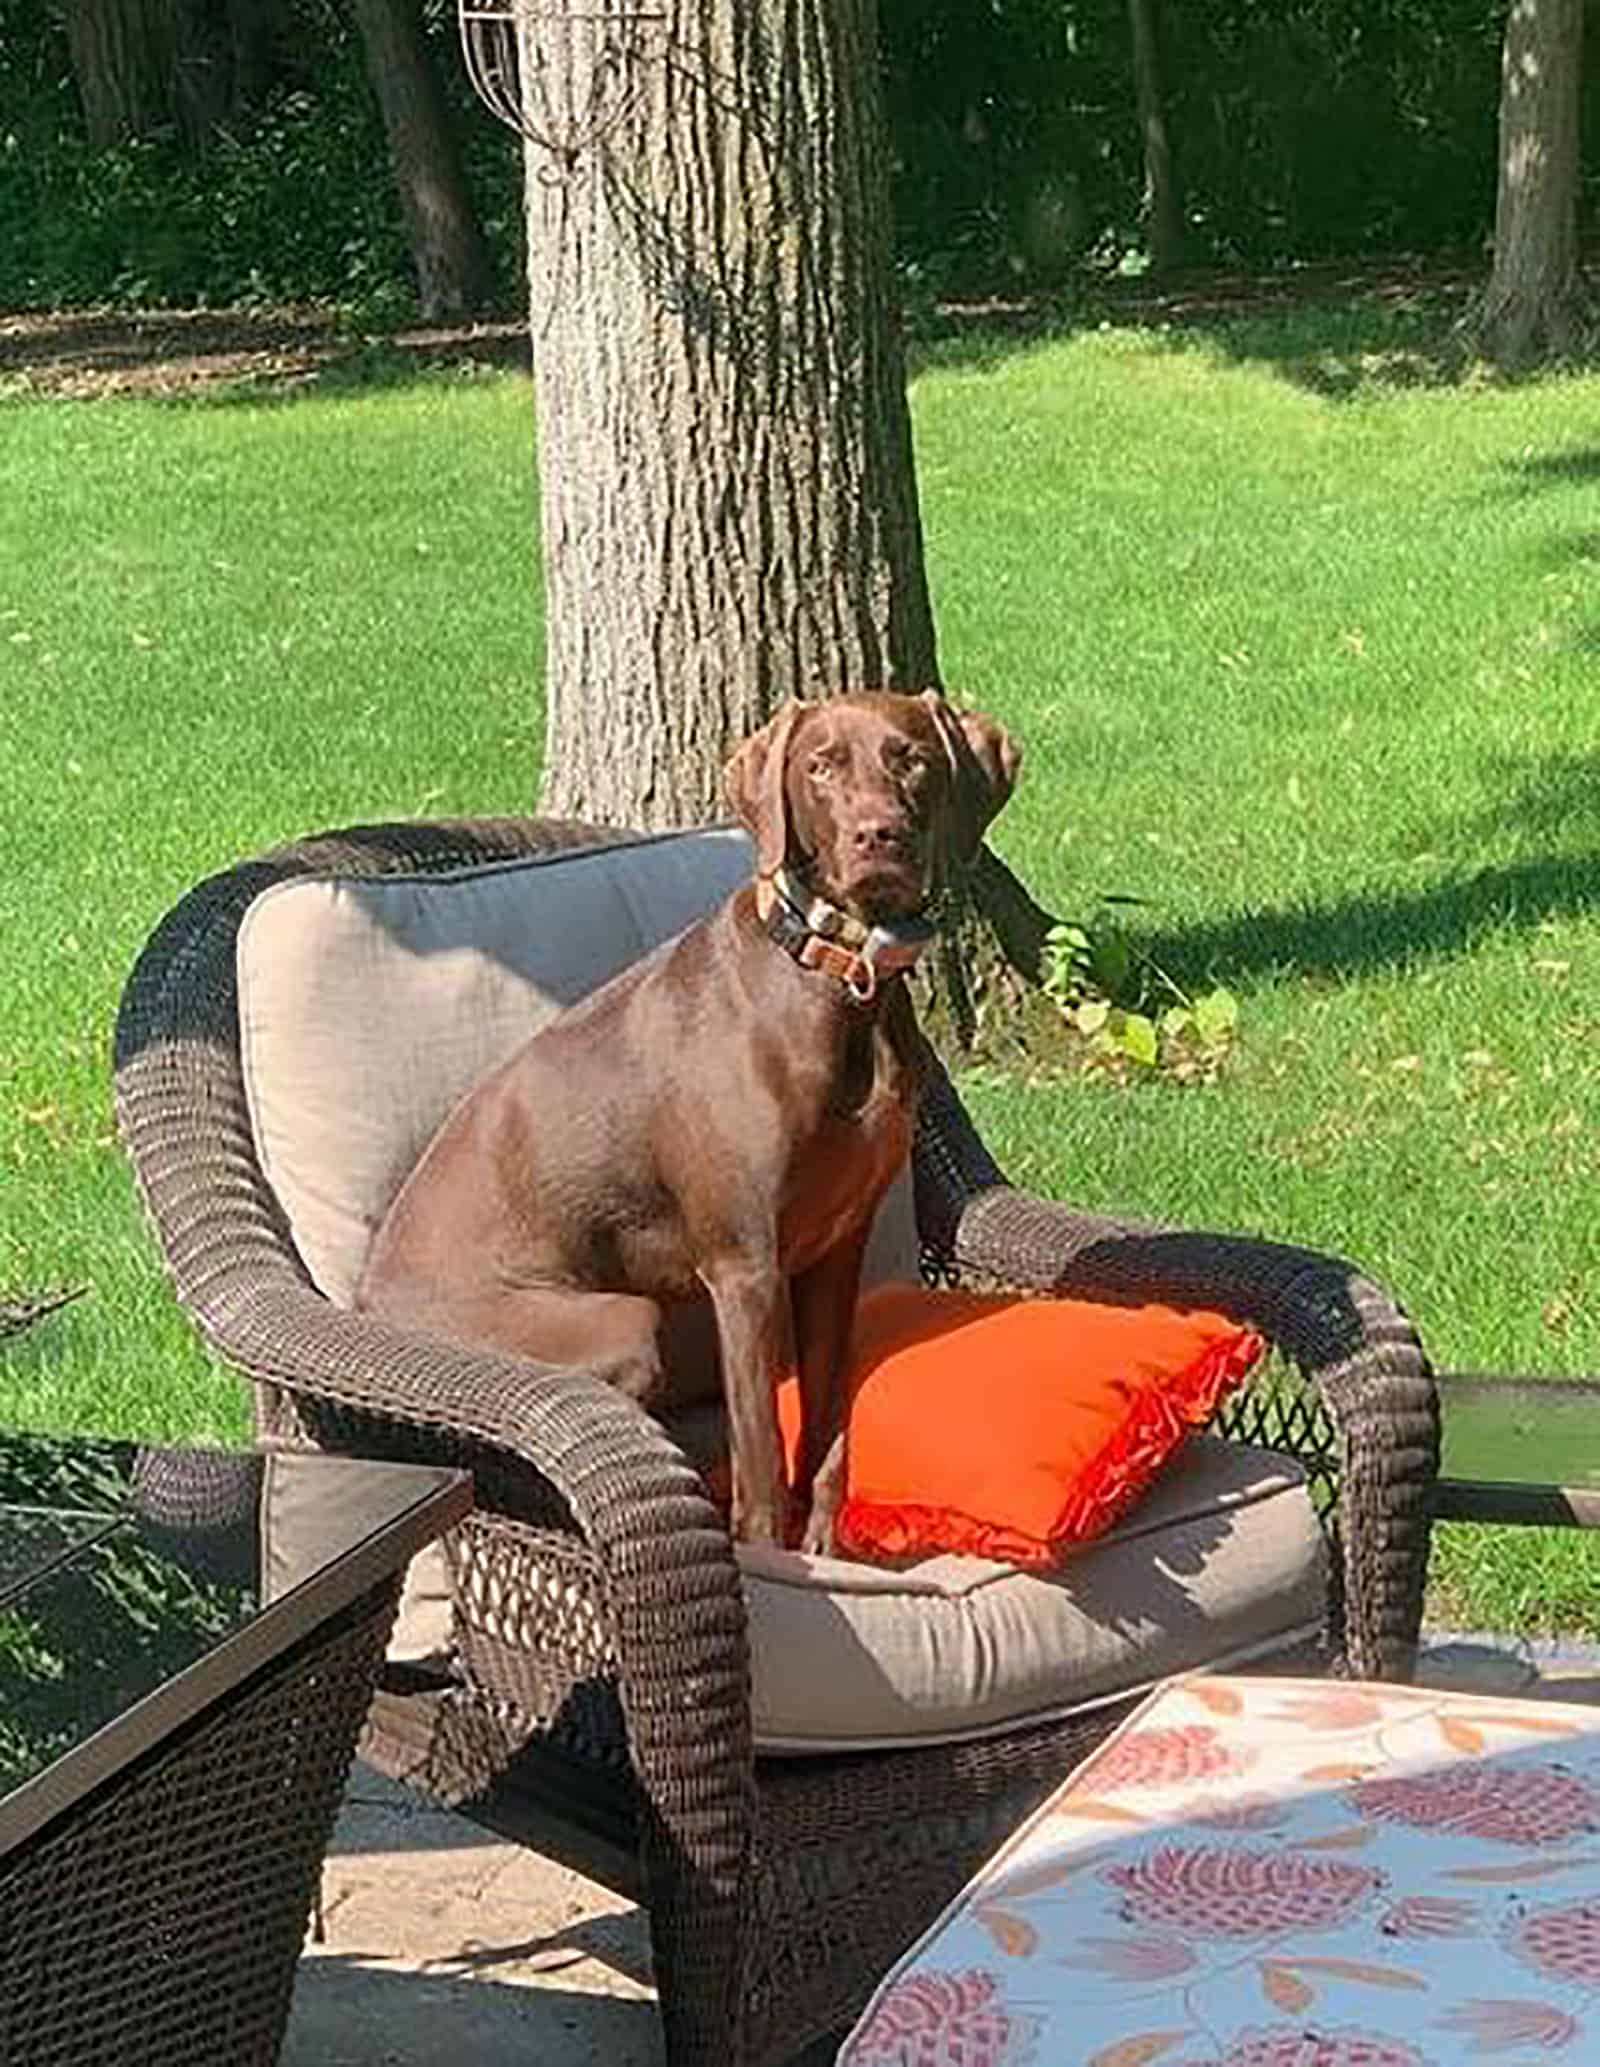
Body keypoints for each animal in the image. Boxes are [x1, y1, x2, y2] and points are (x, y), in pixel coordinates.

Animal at [357, 694, 1021, 1554]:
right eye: (820, 764)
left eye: (911, 757)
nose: (880, 836)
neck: (839, 982)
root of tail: (366, 1306)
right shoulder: (744, 1265)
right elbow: (762, 1461)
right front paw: (773, 1554)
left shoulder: (836, 1249)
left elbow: (829, 1427)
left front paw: (826, 1542)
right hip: (619, 1323)